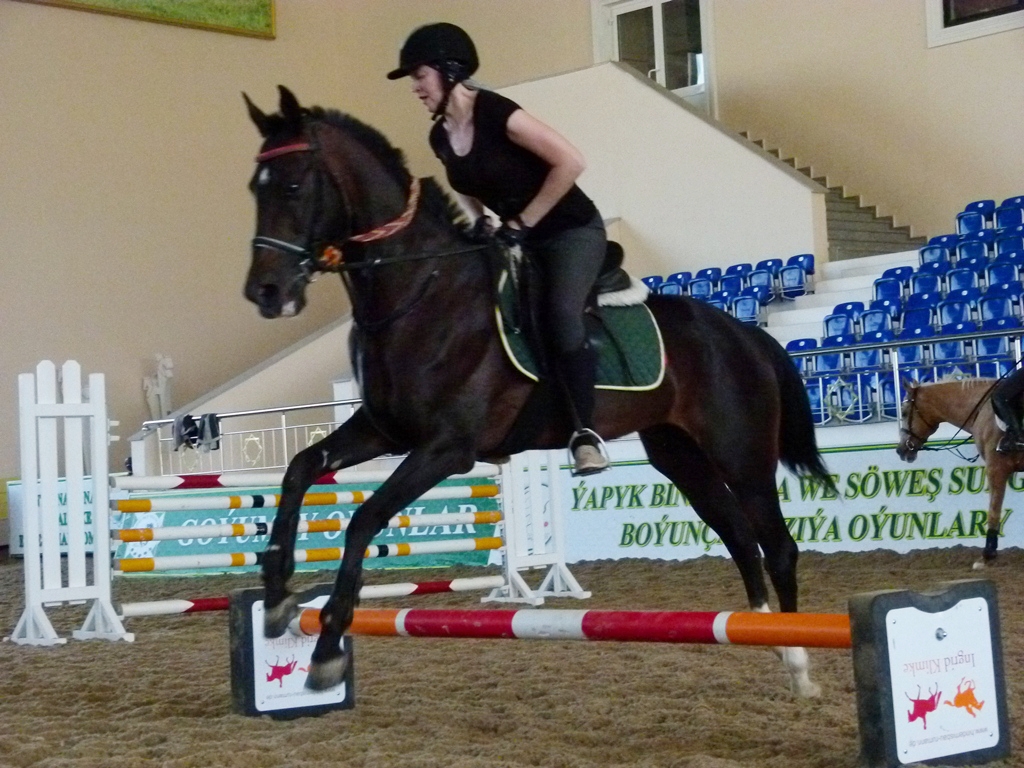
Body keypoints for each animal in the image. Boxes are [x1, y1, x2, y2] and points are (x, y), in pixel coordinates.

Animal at [241, 85, 836, 694]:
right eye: (254, 188)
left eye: (293, 185)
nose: (265, 292)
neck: (420, 290)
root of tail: (744, 332)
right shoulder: (383, 430)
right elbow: (299, 470)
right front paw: (276, 596)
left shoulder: (446, 448)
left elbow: (363, 520)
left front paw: (328, 645)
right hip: (681, 454)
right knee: (739, 535)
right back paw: (762, 635)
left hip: (741, 453)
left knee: (777, 545)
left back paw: (798, 663)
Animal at [897, 376, 1016, 568]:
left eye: (905, 412)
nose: (900, 450)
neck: (983, 410)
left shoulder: (996, 468)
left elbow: (993, 510)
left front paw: (987, 555)